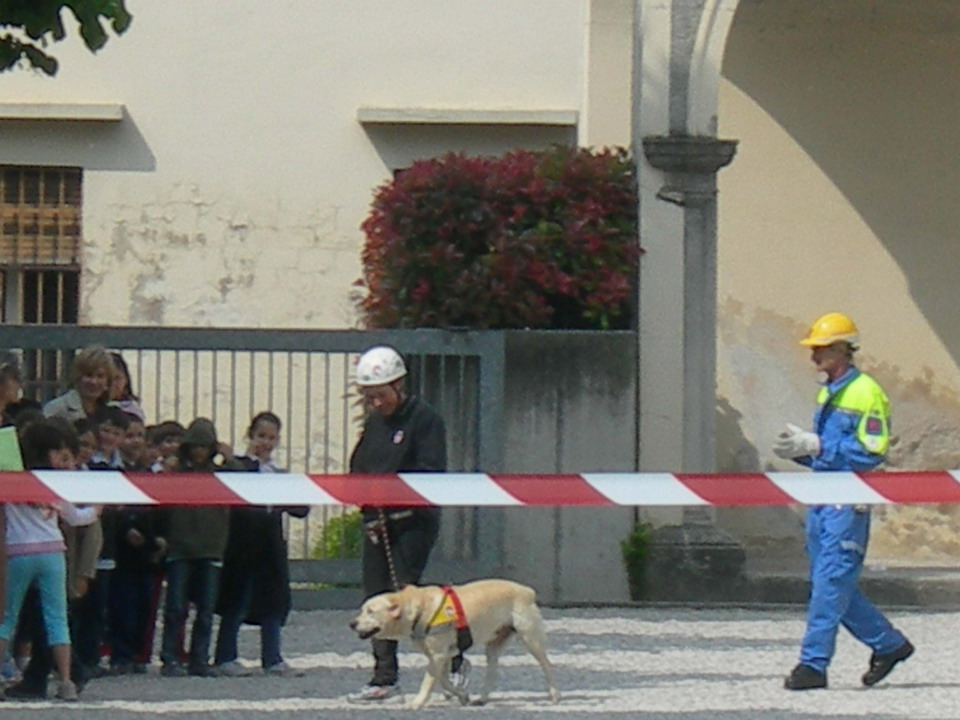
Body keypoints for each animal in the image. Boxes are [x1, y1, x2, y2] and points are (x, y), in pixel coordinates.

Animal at [349, 579, 561, 709]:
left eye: (371, 612)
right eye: (363, 610)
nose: (352, 623)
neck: (420, 609)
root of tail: (527, 591)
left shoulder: (438, 656)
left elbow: (429, 682)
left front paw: (418, 702)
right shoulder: (442, 657)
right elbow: (444, 681)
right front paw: (461, 695)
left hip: (531, 639)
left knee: (548, 666)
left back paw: (554, 695)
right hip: (493, 646)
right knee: (492, 672)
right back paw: (482, 699)